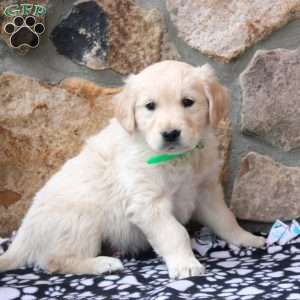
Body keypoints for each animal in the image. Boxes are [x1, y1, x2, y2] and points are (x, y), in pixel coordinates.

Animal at [0, 61, 264, 278]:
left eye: (188, 102)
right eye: (150, 106)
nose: (170, 134)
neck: (177, 159)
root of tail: (24, 235)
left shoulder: (206, 191)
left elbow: (225, 219)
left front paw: (248, 238)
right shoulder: (147, 203)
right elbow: (175, 233)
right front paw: (186, 265)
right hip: (80, 220)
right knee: (54, 260)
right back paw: (102, 263)